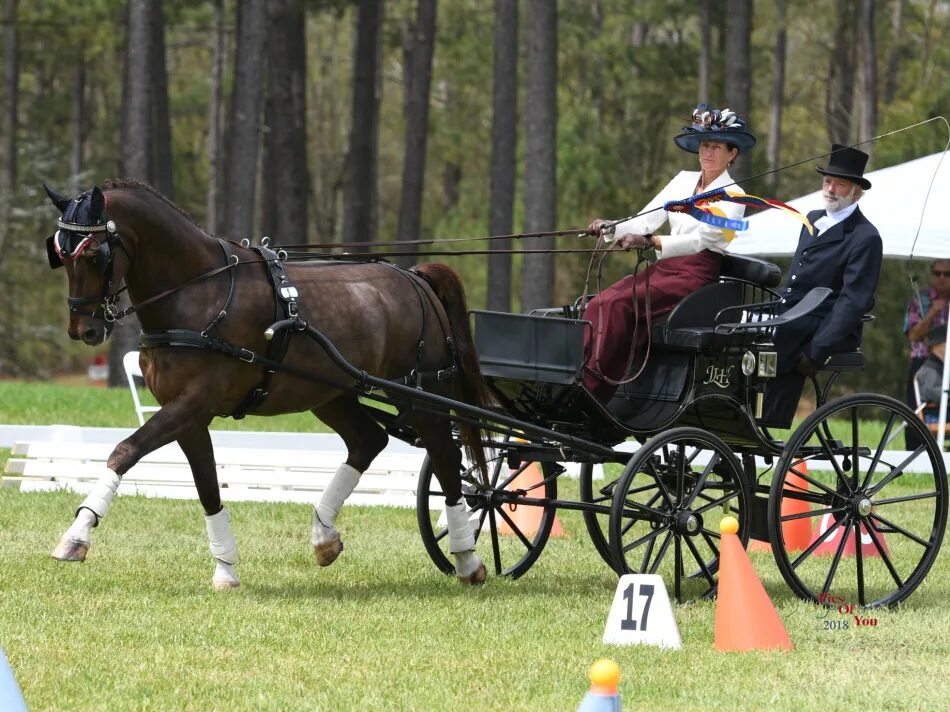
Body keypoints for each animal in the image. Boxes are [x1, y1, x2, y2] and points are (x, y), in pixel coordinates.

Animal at [43, 179, 490, 588]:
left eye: (95, 255)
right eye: (60, 253)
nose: (83, 330)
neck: (199, 290)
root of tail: (414, 278)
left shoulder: (194, 402)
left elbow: (124, 451)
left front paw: (76, 536)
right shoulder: (188, 414)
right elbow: (207, 485)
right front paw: (225, 569)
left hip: (424, 393)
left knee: (446, 457)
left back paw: (467, 559)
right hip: (330, 394)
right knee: (369, 441)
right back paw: (324, 537)